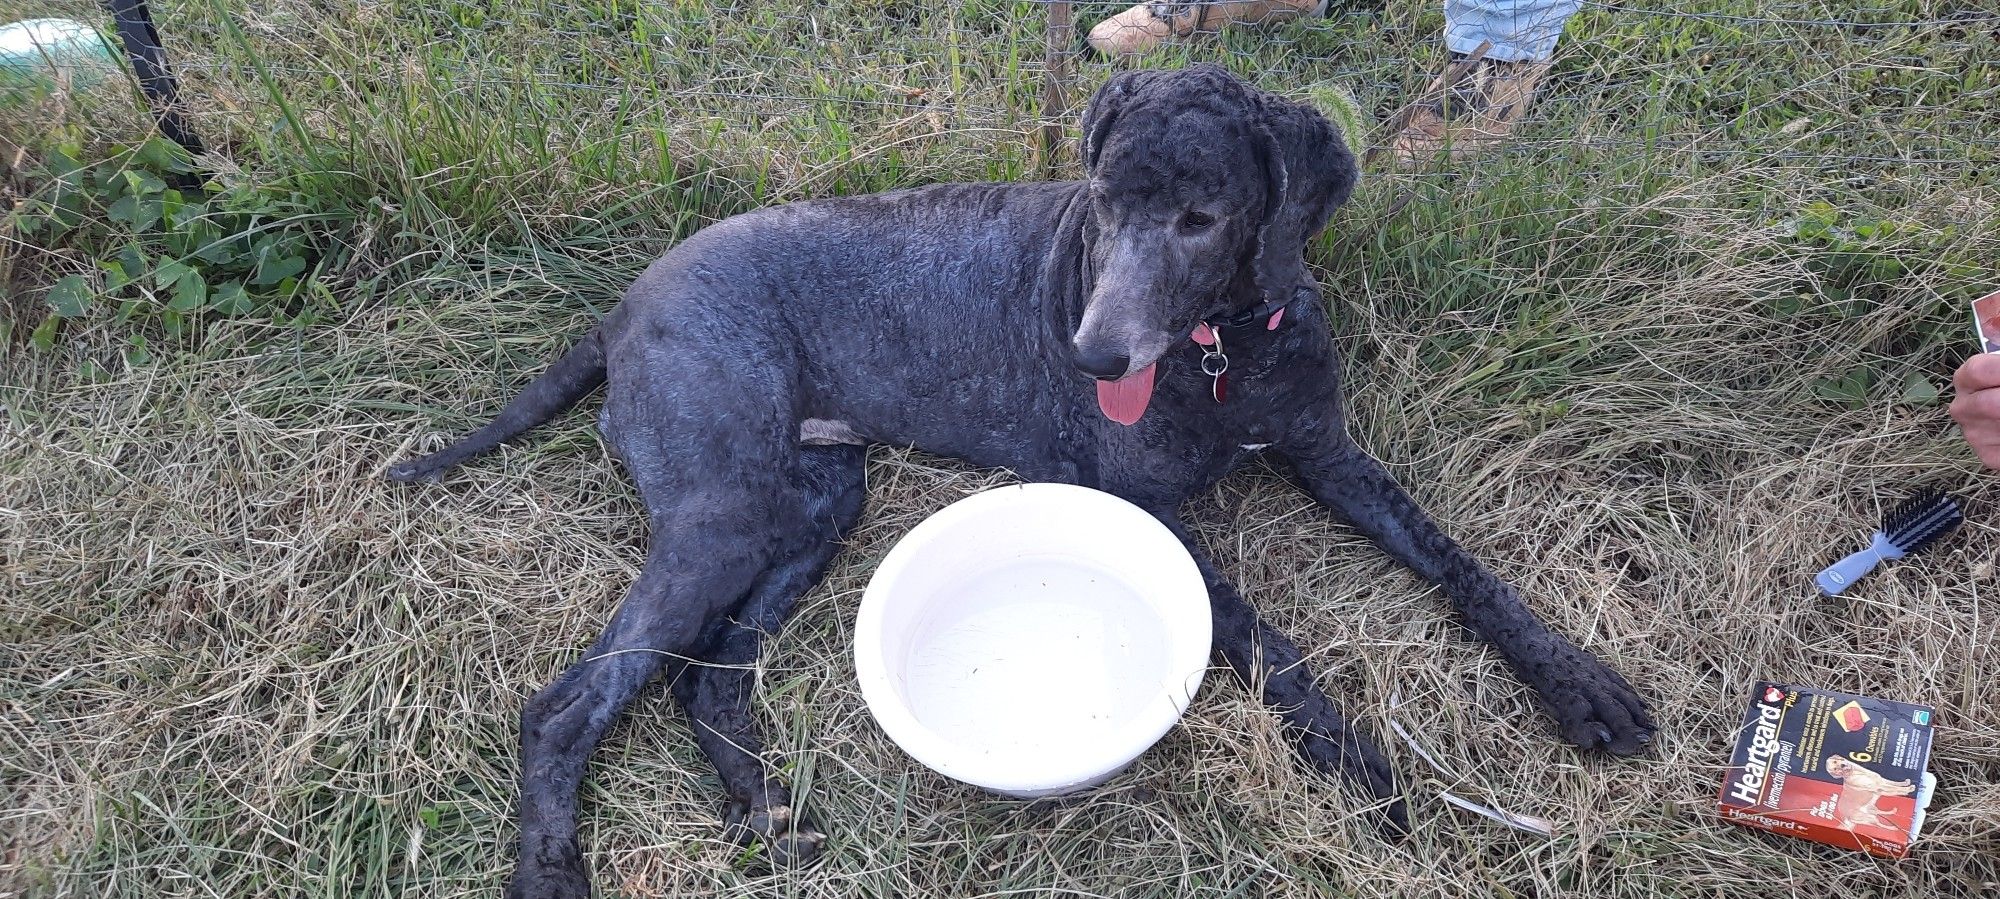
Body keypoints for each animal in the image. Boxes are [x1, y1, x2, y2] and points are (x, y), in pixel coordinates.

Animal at [394, 64, 1656, 899]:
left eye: (1198, 214)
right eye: (1101, 200)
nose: (1092, 356)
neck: (1221, 350)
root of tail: (621, 306)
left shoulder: (1330, 452)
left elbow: (1458, 564)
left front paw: (1579, 684)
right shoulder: (1144, 506)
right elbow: (1274, 645)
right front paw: (1354, 764)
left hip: (812, 504)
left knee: (706, 681)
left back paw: (766, 814)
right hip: (725, 511)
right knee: (565, 704)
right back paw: (555, 868)